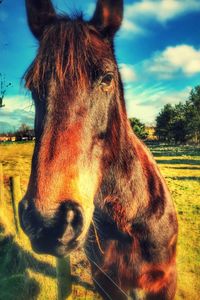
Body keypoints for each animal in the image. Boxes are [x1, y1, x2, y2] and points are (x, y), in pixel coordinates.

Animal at [18, 1, 178, 298]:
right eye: (33, 85)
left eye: (107, 78)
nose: (49, 223)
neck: (129, 223)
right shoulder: (107, 283)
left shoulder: (165, 282)